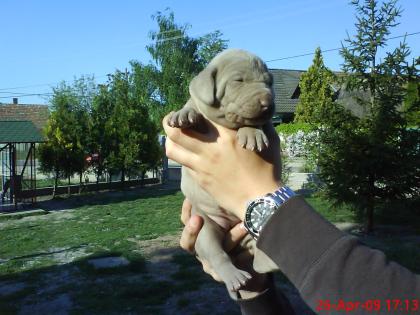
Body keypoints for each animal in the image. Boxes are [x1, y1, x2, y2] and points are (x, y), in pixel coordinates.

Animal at [167, 49, 278, 296]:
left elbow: (257, 123)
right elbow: (191, 107)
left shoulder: (265, 124)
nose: (268, 102)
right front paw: (183, 114)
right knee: (217, 252)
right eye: (239, 81)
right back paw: (235, 276)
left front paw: (252, 133)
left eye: (269, 83)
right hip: (205, 226)